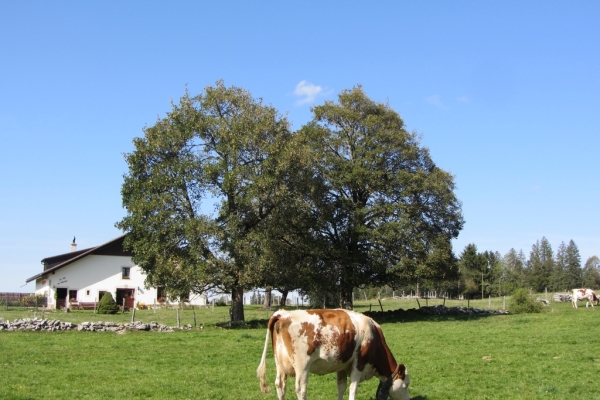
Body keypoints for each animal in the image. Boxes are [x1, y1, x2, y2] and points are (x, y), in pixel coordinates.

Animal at [255, 310, 410, 400]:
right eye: (406, 385)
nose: (408, 399)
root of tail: (282, 314)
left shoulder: (341, 364)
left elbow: (341, 387)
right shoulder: (358, 363)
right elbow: (353, 388)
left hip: (279, 363)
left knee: (280, 385)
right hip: (302, 365)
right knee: (301, 389)